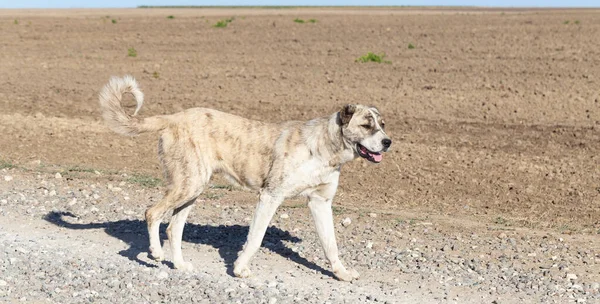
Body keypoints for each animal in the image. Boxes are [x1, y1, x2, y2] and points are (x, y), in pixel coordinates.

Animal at [98, 75, 392, 280]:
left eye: (382, 125)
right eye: (366, 125)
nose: (388, 142)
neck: (324, 147)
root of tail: (173, 117)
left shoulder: (320, 203)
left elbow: (331, 245)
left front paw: (341, 273)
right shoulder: (270, 196)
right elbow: (256, 238)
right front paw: (239, 269)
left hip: (192, 189)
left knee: (173, 228)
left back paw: (179, 264)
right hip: (188, 184)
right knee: (152, 213)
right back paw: (156, 252)